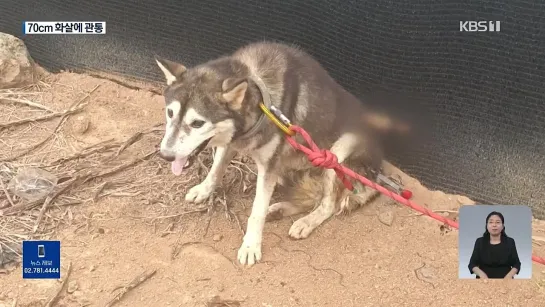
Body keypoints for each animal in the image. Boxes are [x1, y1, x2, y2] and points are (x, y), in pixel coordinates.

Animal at [153, 41, 408, 268]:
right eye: (170, 113)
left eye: (197, 123)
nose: (165, 155)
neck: (259, 94)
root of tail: (376, 173)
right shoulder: (232, 141)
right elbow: (216, 169)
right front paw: (204, 189)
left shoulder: (269, 166)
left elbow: (256, 210)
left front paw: (251, 246)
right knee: (314, 198)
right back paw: (279, 210)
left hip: (338, 151)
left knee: (328, 204)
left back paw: (305, 222)